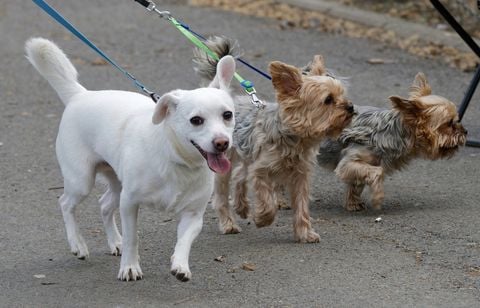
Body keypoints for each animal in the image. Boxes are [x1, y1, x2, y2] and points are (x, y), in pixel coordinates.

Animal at [26, 36, 236, 282]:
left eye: (227, 115)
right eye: (196, 120)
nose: (222, 142)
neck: (175, 158)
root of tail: (80, 95)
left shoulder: (193, 215)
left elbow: (184, 242)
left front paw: (180, 265)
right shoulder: (129, 203)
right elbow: (132, 238)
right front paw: (129, 267)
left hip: (117, 184)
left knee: (104, 205)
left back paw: (114, 241)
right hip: (82, 182)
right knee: (65, 203)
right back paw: (78, 244)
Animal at [193, 36, 354, 243]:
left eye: (342, 95)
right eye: (328, 100)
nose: (350, 107)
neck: (294, 138)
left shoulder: (301, 176)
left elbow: (301, 205)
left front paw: (305, 233)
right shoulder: (261, 171)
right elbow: (267, 199)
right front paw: (263, 218)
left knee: (239, 175)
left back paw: (242, 206)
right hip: (225, 161)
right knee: (222, 194)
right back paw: (228, 224)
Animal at [318, 73, 464, 212]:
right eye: (449, 123)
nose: (465, 132)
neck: (394, 132)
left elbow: (356, 184)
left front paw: (353, 203)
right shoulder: (349, 162)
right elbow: (378, 172)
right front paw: (377, 197)